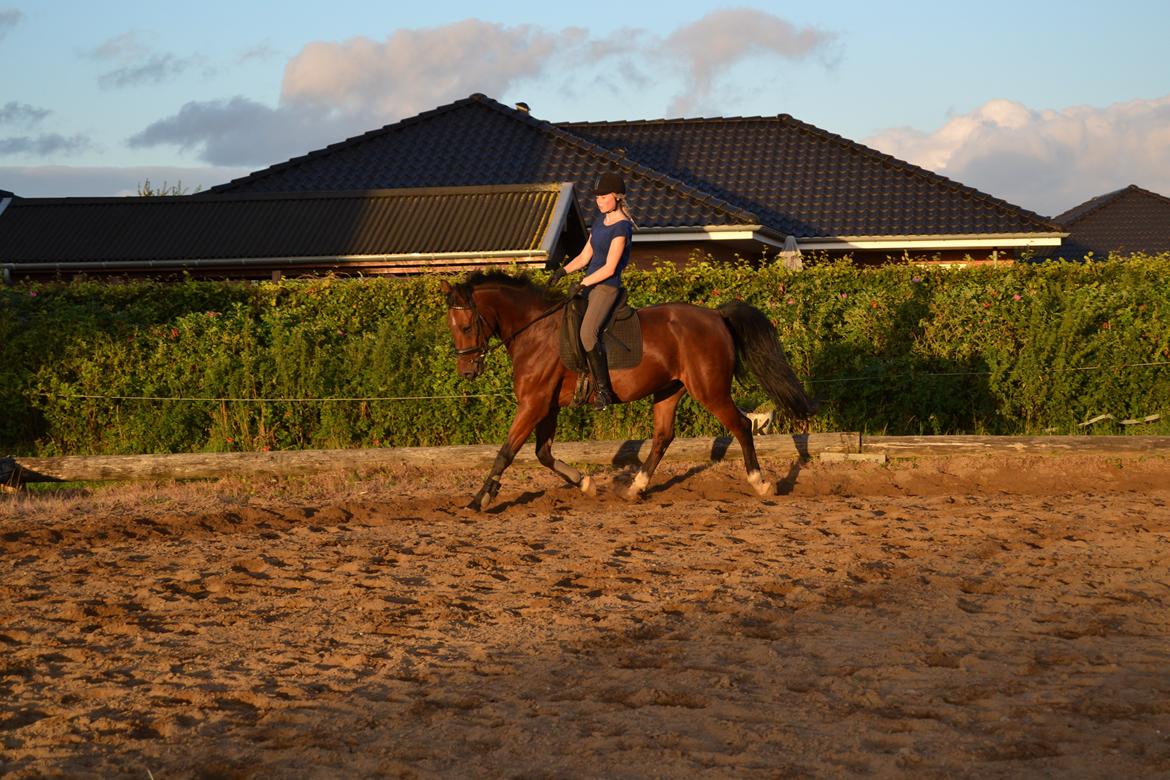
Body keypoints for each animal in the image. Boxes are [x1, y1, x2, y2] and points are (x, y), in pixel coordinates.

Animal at [442, 270, 819, 512]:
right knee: (663, 437)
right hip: (669, 390)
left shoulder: (534, 403)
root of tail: (715, 314)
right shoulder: (547, 405)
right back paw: (635, 488)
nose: (467, 371)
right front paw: (586, 483)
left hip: (709, 390)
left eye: (466, 326)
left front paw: (479, 499)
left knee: (740, 426)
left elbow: (506, 452)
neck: (535, 331)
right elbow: (543, 453)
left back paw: (761, 483)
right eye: (452, 326)